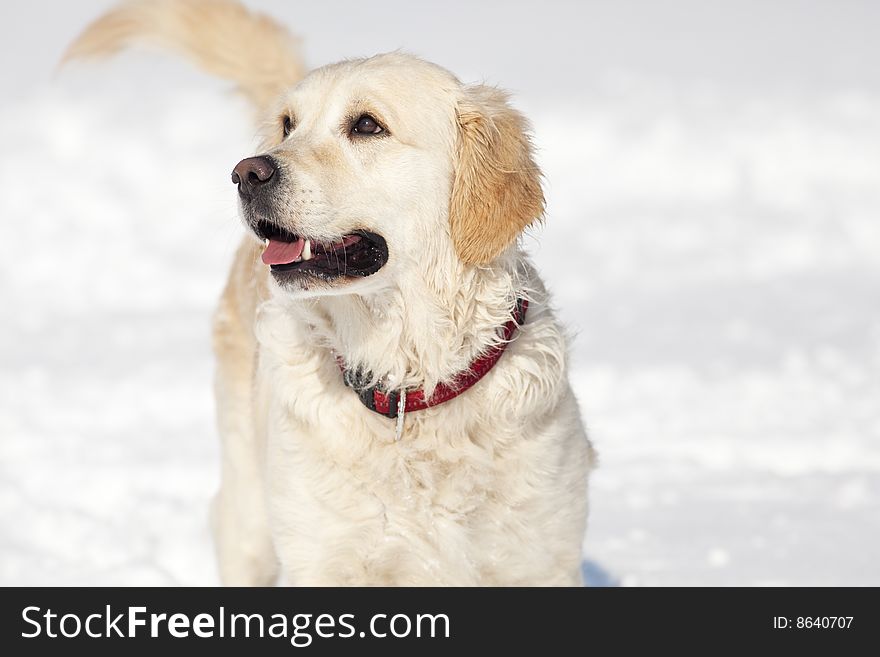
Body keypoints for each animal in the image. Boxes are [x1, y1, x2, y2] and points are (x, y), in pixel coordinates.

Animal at [65, 0, 596, 584]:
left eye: (366, 125)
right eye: (289, 125)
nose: (247, 172)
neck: (409, 380)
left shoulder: (539, 559)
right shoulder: (323, 555)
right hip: (249, 515)